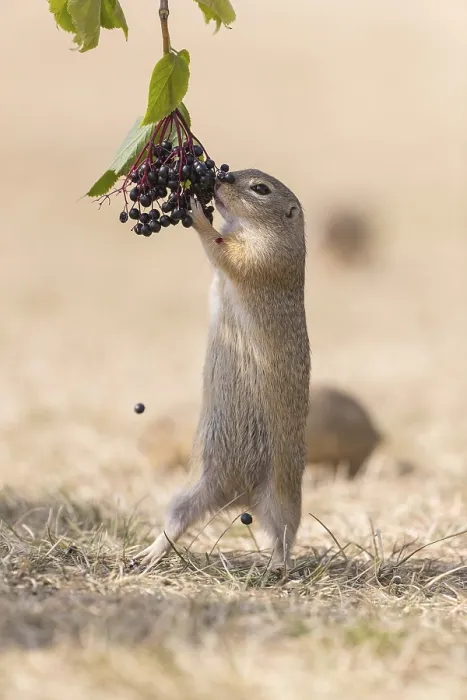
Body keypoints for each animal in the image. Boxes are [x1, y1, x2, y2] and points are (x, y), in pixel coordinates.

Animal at [137, 169, 311, 571]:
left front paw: (198, 212)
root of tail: (239, 497)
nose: (219, 177)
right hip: (194, 488)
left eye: (261, 189)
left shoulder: (263, 255)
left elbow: (224, 251)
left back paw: (277, 566)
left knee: (284, 535)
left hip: (283, 496)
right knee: (177, 521)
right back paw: (149, 553)